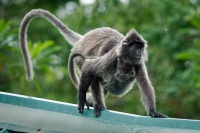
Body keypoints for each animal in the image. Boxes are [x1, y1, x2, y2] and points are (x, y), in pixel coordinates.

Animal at [19, 8, 168, 118]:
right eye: (136, 46)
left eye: (141, 47)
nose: (140, 53)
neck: (125, 61)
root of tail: (82, 39)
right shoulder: (112, 58)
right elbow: (90, 67)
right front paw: (81, 96)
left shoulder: (138, 64)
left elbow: (145, 85)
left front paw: (153, 112)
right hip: (80, 59)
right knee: (94, 75)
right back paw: (99, 105)